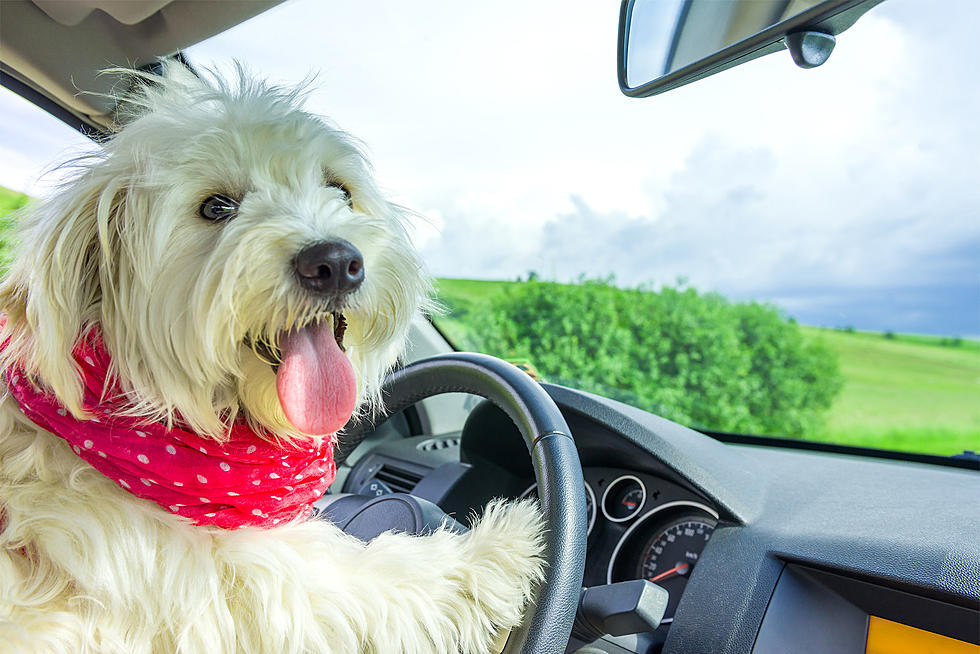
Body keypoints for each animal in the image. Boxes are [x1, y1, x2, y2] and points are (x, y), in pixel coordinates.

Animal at [0, 62, 544, 654]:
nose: (335, 262)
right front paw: (500, 546)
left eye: (339, 188)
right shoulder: (250, 589)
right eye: (216, 207)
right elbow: (382, 580)